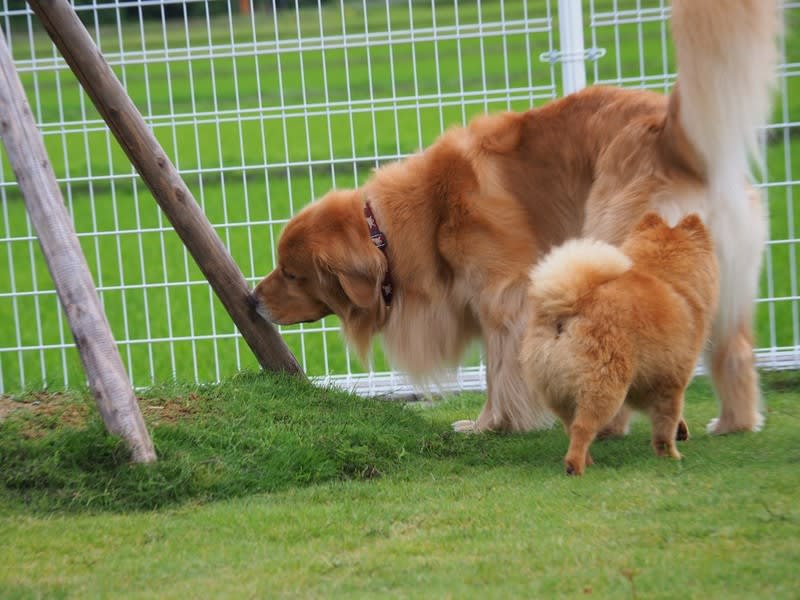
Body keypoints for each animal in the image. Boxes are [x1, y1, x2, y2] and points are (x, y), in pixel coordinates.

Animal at [520, 213, 720, 476]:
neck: (666, 274)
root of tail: (569, 308)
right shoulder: (672, 381)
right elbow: (665, 423)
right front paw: (671, 456)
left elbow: (672, 417)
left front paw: (681, 431)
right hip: (604, 388)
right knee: (583, 428)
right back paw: (576, 466)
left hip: (558, 391)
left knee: (571, 428)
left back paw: (587, 461)